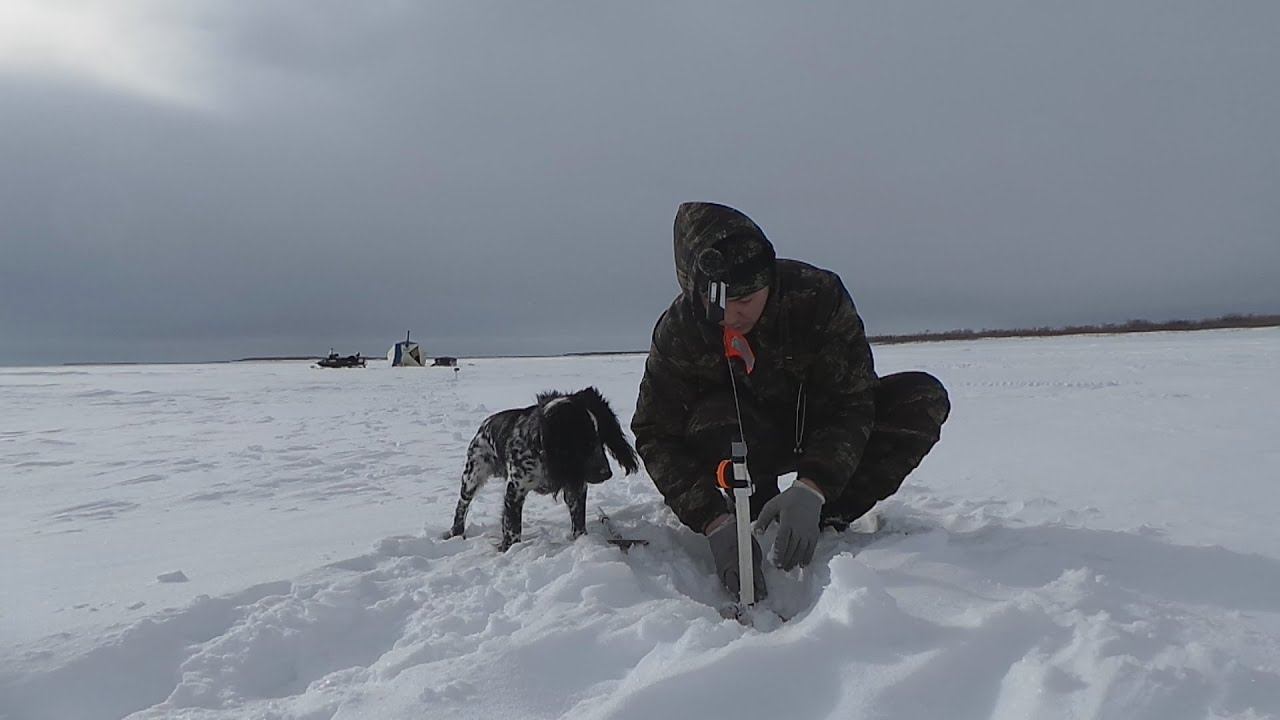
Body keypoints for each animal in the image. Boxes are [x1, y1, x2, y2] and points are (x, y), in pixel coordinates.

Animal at [445, 386, 640, 548]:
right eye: (584, 441)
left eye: (603, 439)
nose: (606, 473)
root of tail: (485, 424)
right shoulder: (515, 490)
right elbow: (512, 528)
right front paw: (510, 549)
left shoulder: (575, 486)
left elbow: (578, 520)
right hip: (473, 475)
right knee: (462, 504)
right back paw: (457, 532)